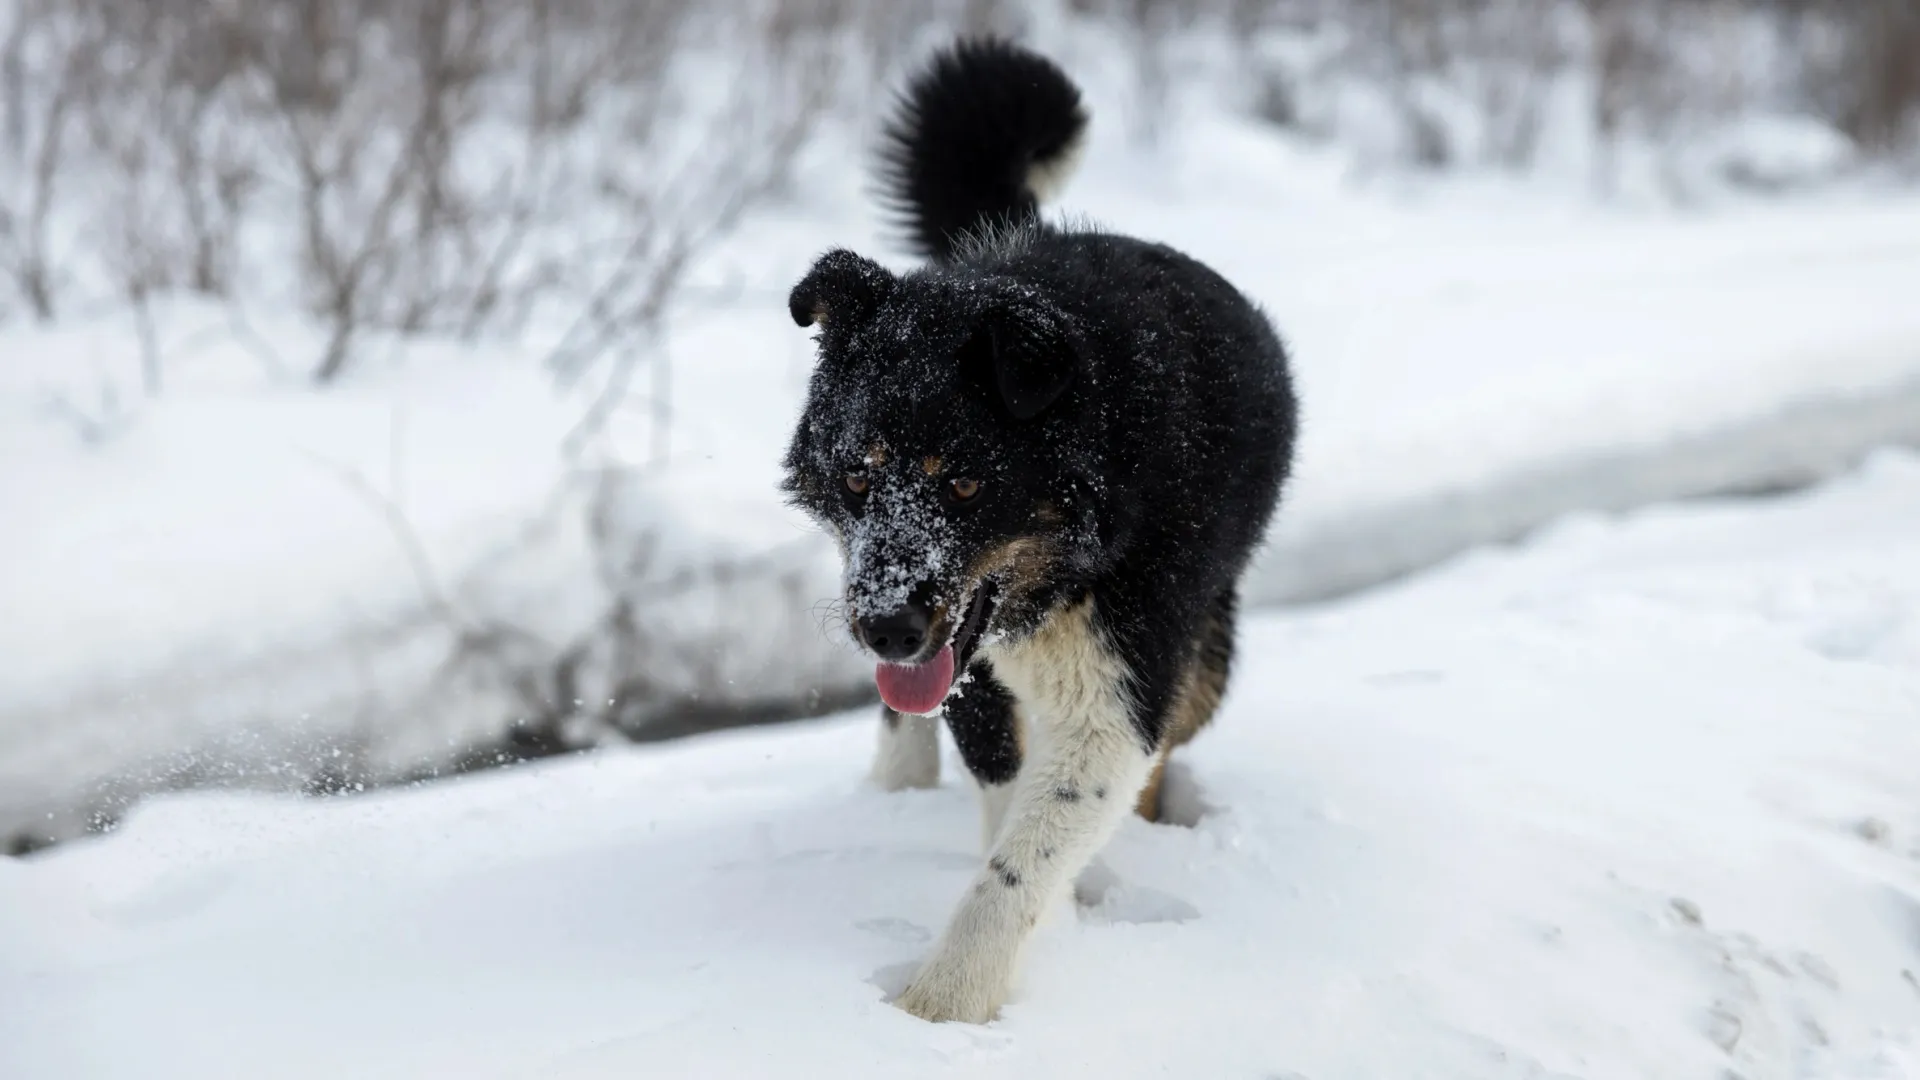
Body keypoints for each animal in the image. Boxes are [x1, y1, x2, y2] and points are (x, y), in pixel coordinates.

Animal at [783, 39, 1305, 1014]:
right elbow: (1001, 793)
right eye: (858, 472)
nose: (885, 625)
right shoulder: (969, 673)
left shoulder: (1119, 695)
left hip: (1206, 657)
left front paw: (941, 1007)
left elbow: (1020, 860)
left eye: (965, 484)